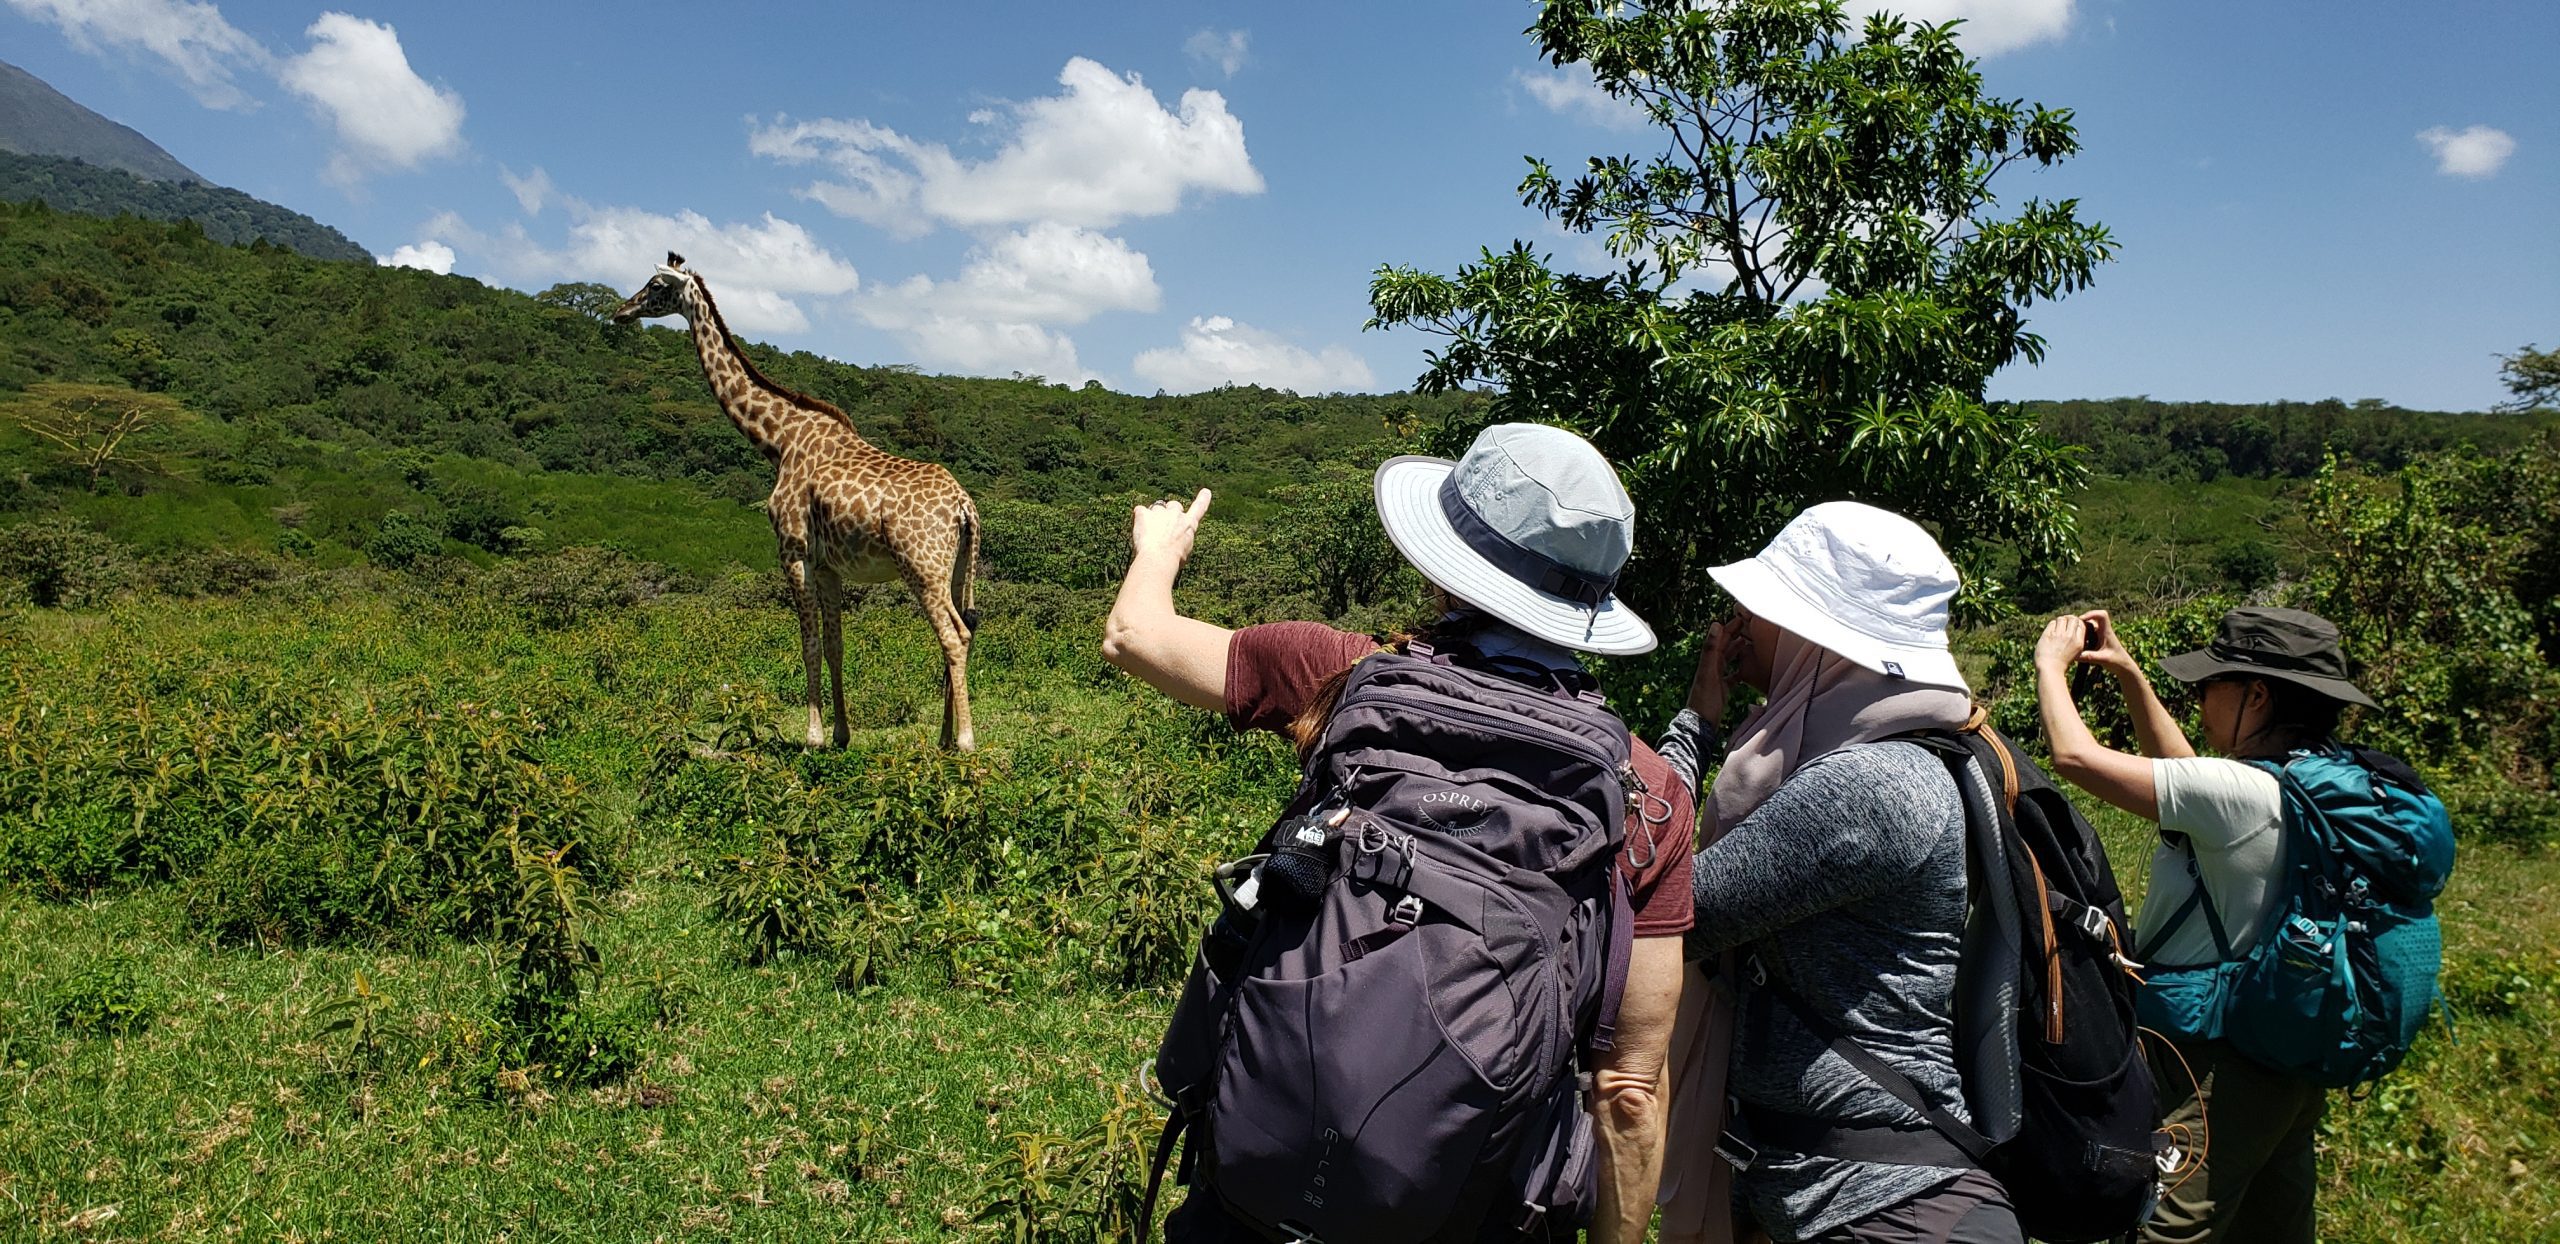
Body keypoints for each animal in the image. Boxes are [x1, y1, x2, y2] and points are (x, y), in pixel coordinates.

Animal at [614, 250, 983, 747]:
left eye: (654, 286)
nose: (621, 311)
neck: (778, 440)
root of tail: (965, 507)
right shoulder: (828, 564)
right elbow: (835, 645)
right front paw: (842, 734)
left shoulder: (792, 550)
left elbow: (807, 643)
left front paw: (813, 738)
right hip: (958, 567)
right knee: (959, 632)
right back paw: (943, 739)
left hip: (921, 565)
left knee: (954, 635)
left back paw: (964, 741)